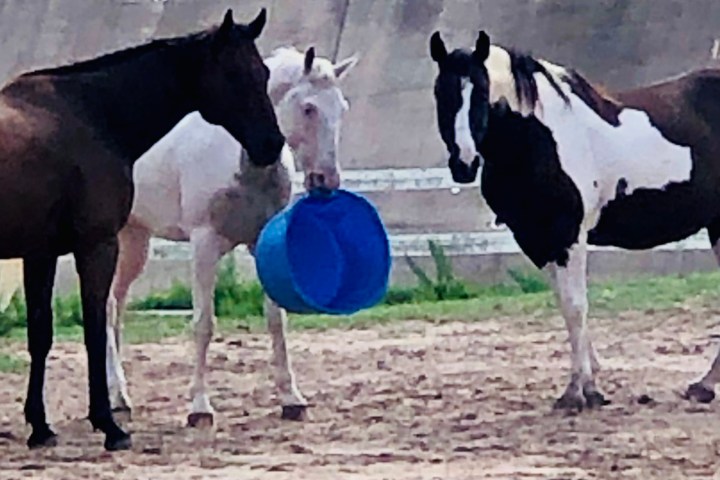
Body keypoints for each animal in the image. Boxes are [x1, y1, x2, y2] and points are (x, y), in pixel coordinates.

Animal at [0, 7, 284, 451]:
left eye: (265, 72)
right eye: (234, 72)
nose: (272, 144)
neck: (92, 115)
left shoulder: (40, 253)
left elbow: (41, 334)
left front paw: (41, 427)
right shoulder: (96, 246)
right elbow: (95, 333)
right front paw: (109, 425)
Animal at [104, 46, 357, 427]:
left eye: (341, 108)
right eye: (309, 108)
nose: (326, 181)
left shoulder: (261, 242)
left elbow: (276, 320)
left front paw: (291, 399)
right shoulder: (204, 244)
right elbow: (203, 323)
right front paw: (199, 407)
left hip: (136, 241)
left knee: (115, 307)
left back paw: (119, 397)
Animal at [429, 30, 720, 411]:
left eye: (480, 92)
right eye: (441, 93)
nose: (463, 163)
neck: (538, 138)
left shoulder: (568, 236)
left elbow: (575, 306)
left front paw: (579, 391)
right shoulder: (537, 240)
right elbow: (566, 306)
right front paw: (590, 381)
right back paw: (705, 385)